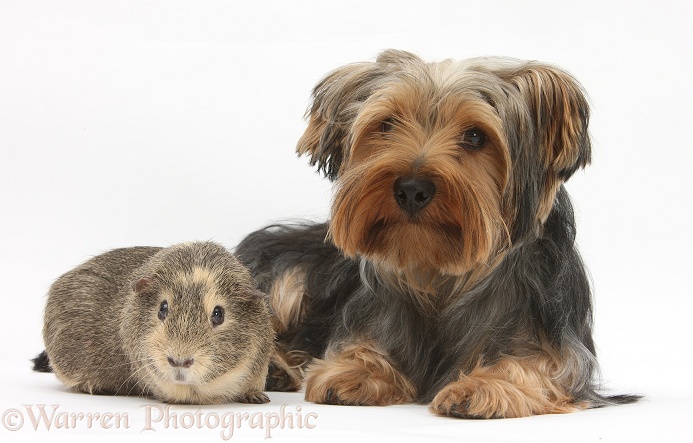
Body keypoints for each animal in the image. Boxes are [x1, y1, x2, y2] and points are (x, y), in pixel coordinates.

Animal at [238, 50, 636, 418]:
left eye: (475, 136)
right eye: (387, 125)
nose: (411, 188)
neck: (439, 270)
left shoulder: (555, 339)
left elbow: (541, 366)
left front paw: (484, 385)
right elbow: (362, 349)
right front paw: (357, 372)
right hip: (287, 274)